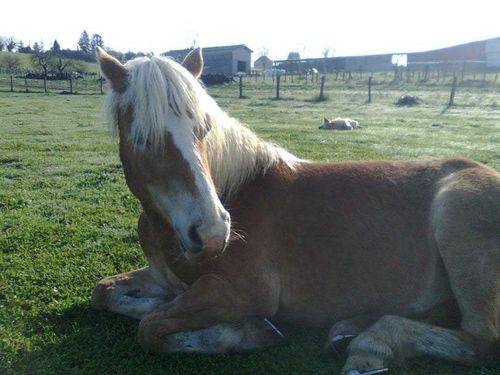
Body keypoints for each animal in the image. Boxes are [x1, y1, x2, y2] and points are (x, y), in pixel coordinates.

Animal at [91, 47, 500, 375]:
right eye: (142, 138)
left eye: (204, 129)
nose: (213, 233)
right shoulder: (162, 277)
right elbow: (105, 292)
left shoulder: (237, 292)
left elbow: (151, 328)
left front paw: (247, 332)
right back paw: (352, 329)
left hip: (456, 219)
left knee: (483, 341)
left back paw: (371, 345)